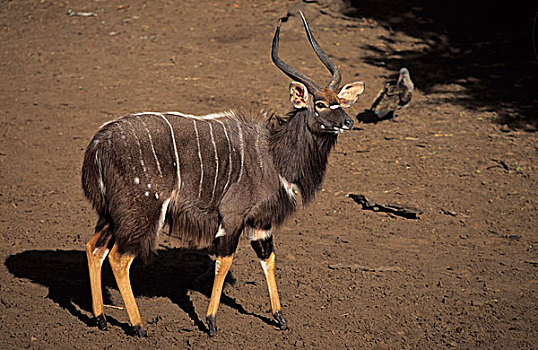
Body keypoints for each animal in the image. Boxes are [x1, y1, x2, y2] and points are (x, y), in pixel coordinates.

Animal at [80, 13, 364, 336]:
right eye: (319, 104)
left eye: (339, 100)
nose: (348, 121)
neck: (273, 155)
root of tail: (98, 146)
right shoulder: (232, 217)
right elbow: (224, 259)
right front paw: (211, 321)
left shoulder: (260, 221)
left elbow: (268, 257)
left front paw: (279, 317)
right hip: (142, 212)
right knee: (119, 257)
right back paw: (138, 326)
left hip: (112, 214)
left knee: (94, 248)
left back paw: (101, 318)